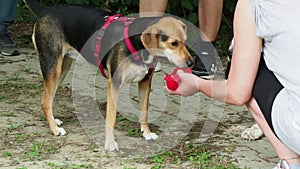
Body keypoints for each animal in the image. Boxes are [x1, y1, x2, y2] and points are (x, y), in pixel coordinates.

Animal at [24, 0, 195, 151]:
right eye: (173, 43)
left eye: (186, 41)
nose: (191, 63)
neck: (137, 43)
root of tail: (45, 10)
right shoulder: (114, 84)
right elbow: (111, 119)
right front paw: (110, 144)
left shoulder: (145, 82)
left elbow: (144, 112)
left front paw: (146, 133)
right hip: (53, 67)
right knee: (45, 101)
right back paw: (54, 130)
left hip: (62, 68)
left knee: (48, 98)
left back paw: (54, 121)